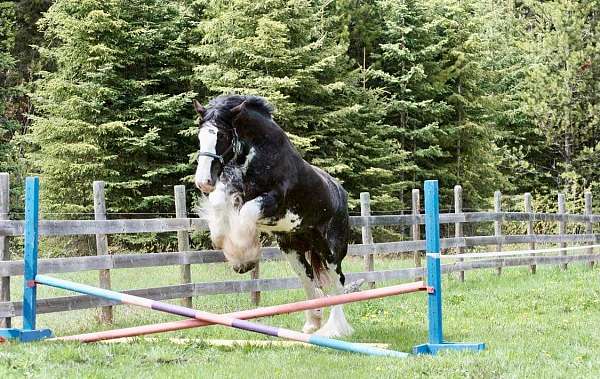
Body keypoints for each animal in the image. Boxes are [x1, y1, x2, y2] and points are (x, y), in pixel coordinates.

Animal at [192, 95, 352, 338]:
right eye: (200, 135)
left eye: (223, 136)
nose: (203, 181)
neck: (259, 156)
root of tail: (340, 193)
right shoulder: (231, 189)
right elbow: (219, 203)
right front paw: (226, 244)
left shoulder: (272, 202)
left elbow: (246, 214)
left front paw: (243, 258)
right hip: (291, 248)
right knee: (308, 277)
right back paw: (312, 322)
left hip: (331, 251)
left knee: (338, 282)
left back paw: (335, 329)